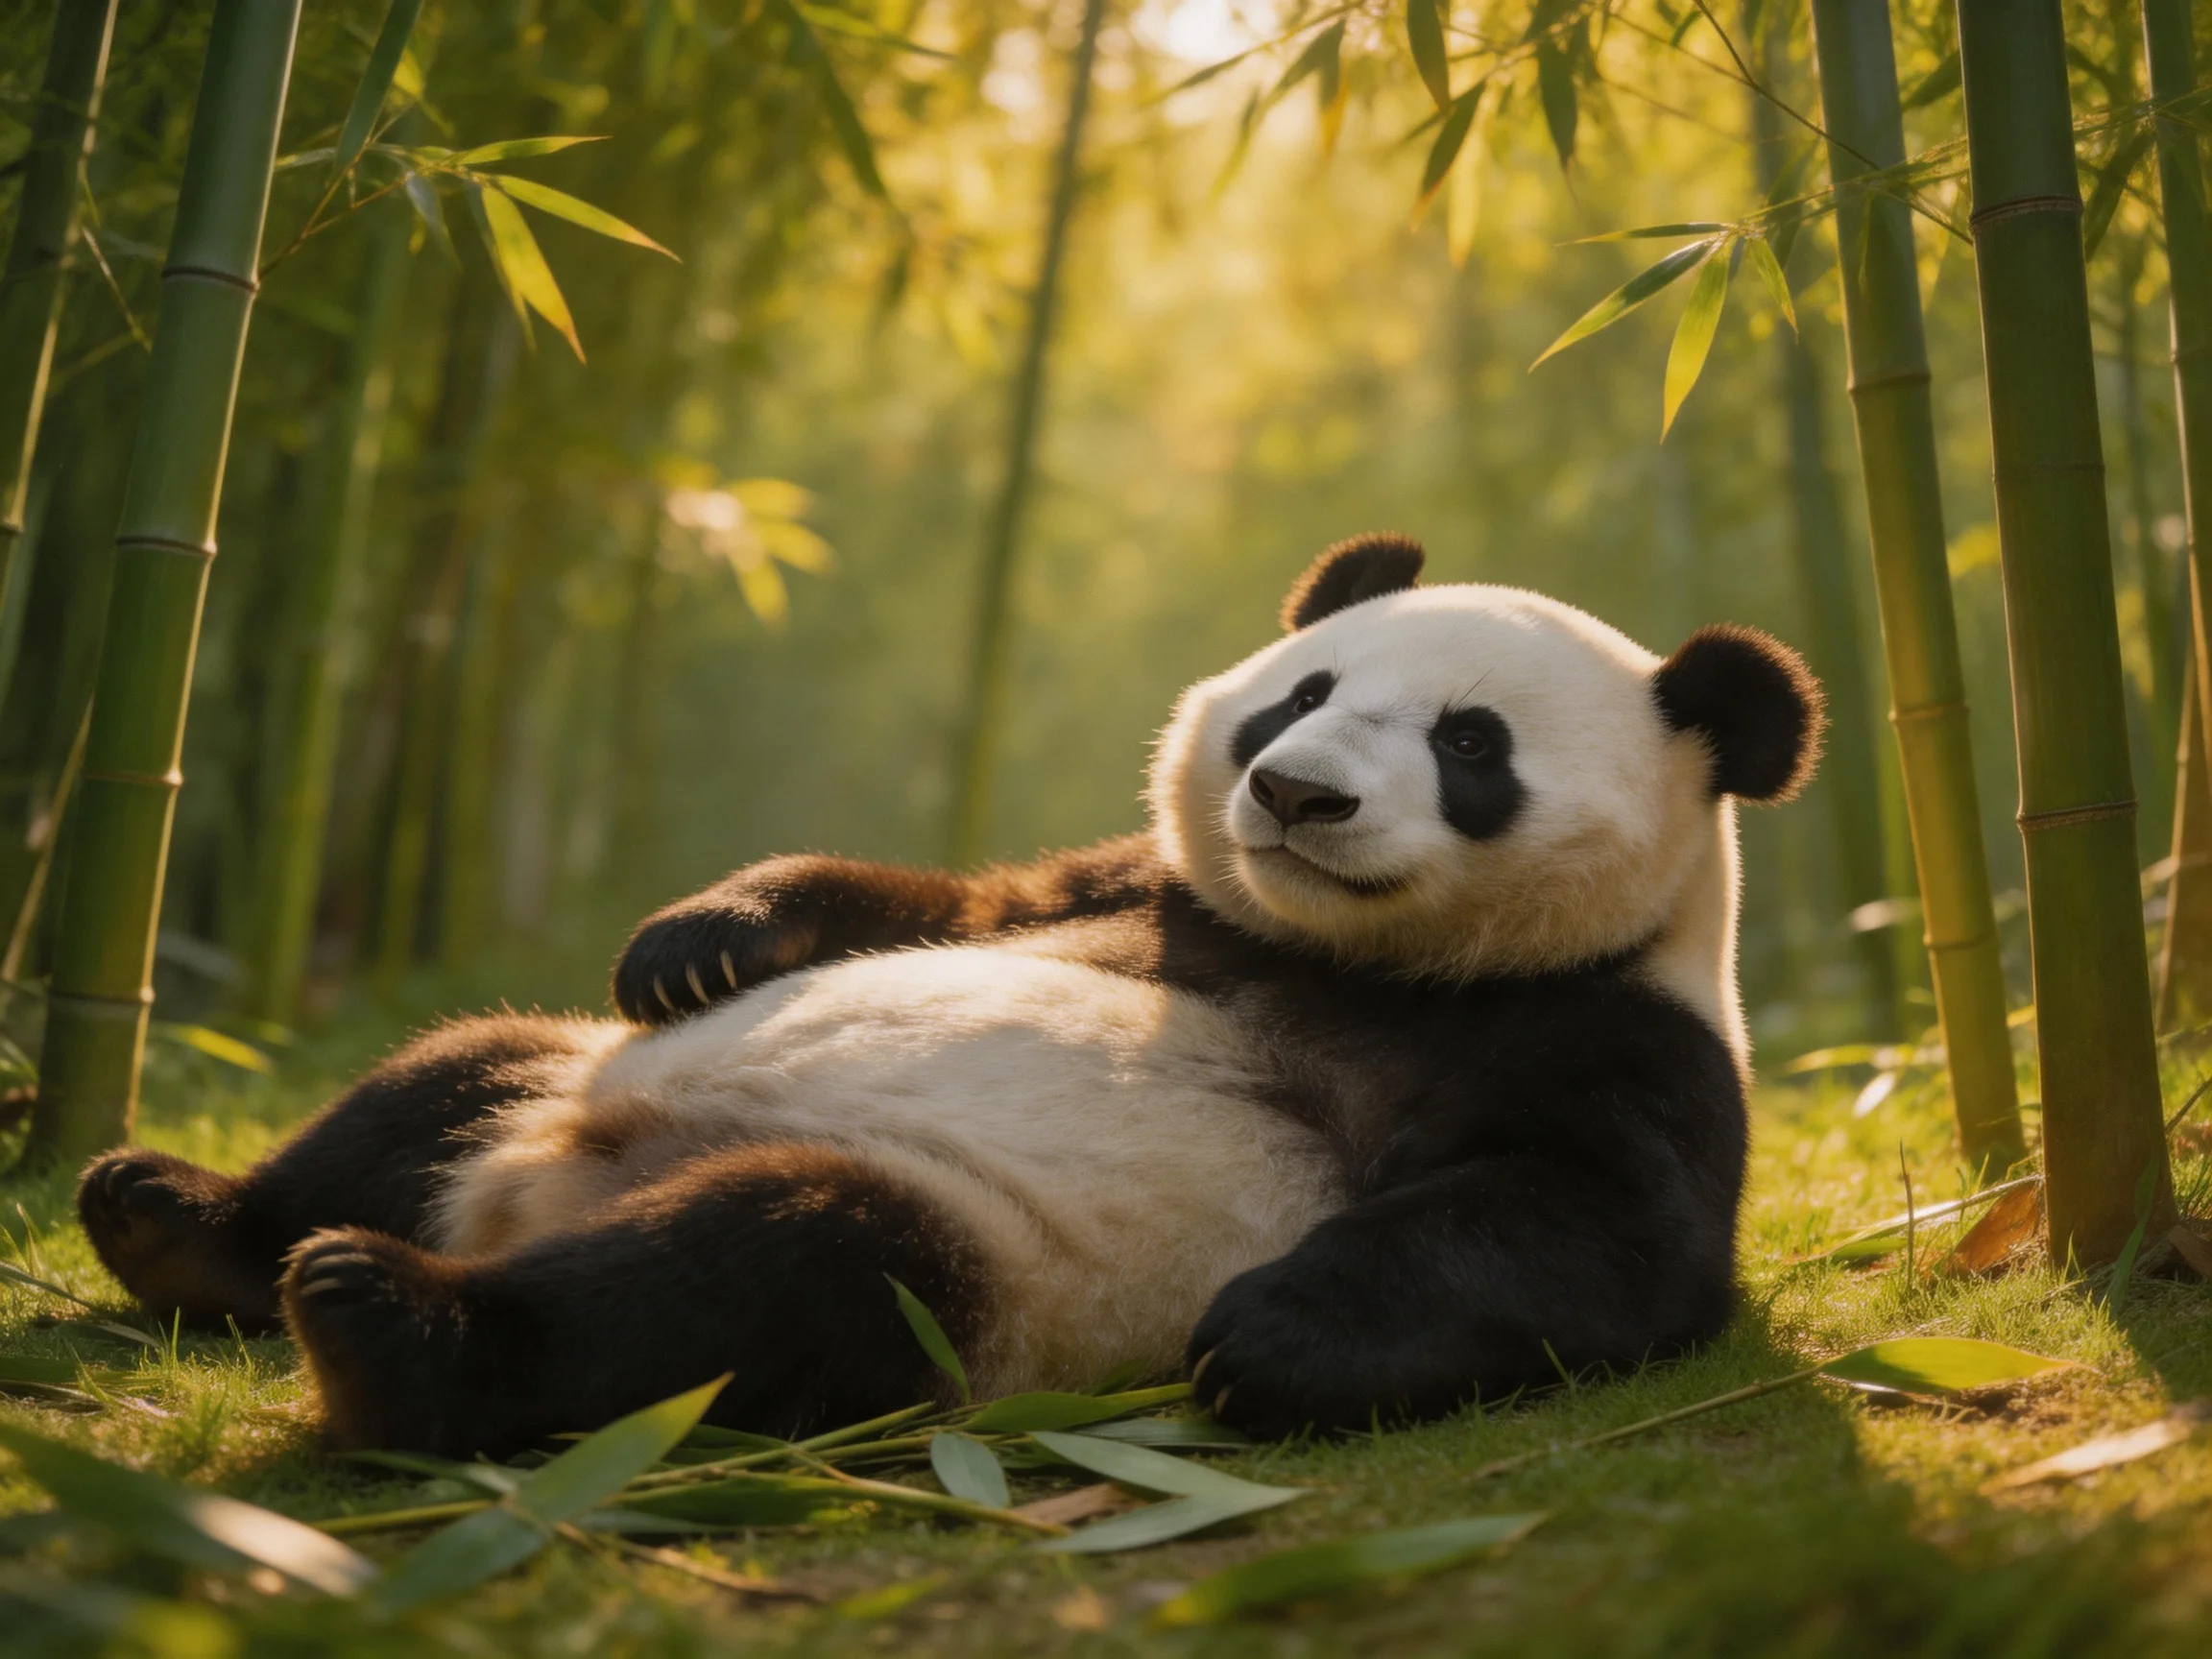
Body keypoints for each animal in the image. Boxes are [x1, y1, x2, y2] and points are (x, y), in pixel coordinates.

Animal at [76, 533, 1822, 1457]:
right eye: (1302, 692)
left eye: (1469, 744)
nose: (1292, 793)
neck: (1321, 950)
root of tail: (529, 1196)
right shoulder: (1155, 897)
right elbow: (956, 901)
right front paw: (702, 937)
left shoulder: (1605, 1027)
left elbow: (1597, 1230)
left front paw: (1271, 1331)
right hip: (558, 1073)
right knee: (440, 1076)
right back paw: (176, 1214)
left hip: (976, 1258)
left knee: (767, 1268)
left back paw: (392, 1316)